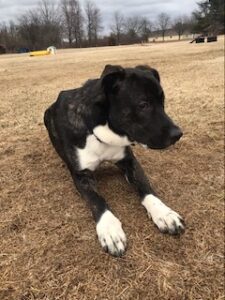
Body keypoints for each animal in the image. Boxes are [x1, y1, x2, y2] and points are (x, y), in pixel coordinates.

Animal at [44, 64, 185, 256]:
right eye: (143, 104)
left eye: (162, 101)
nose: (178, 134)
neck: (100, 130)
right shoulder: (81, 175)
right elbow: (97, 200)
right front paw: (109, 229)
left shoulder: (129, 161)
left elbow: (145, 186)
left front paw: (163, 212)